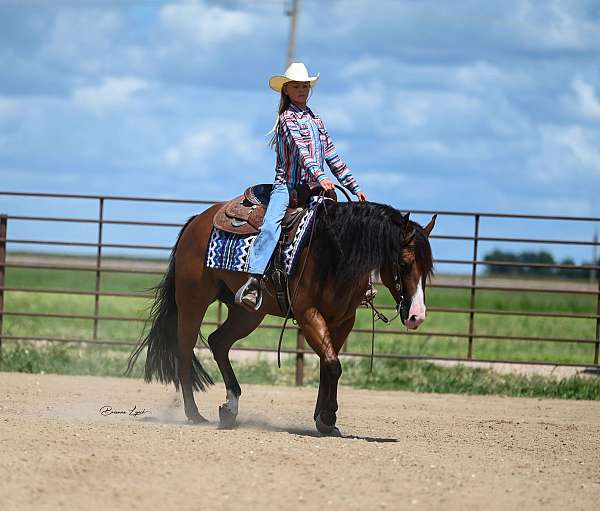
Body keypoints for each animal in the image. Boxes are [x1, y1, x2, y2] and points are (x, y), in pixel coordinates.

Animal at [127, 196, 436, 436]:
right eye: (404, 264)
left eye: (429, 267)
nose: (417, 316)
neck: (333, 253)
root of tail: (197, 221)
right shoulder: (308, 314)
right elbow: (333, 364)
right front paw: (327, 417)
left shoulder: (342, 321)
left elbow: (328, 364)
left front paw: (324, 420)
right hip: (193, 301)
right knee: (184, 351)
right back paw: (195, 414)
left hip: (248, 313)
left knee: (218, 342)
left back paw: (229, 408)